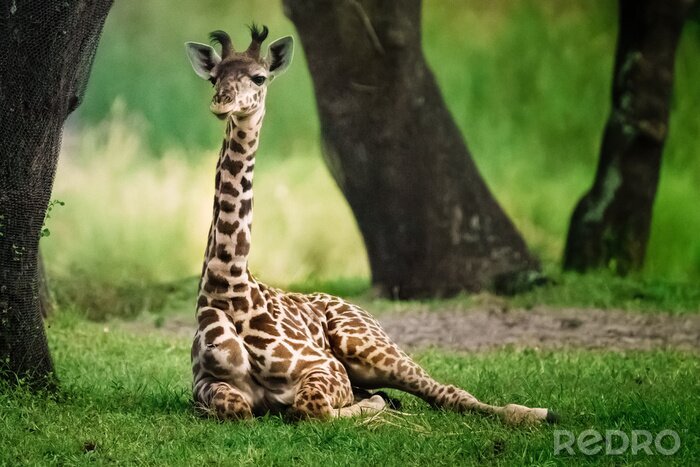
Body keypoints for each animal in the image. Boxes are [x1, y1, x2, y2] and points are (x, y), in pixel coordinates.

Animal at [185, 26, 558, 424]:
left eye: (259, 77)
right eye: (214, 77)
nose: (221, 102)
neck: (228, 287)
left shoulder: (327, 367)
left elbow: (311, 407)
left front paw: (361, 408)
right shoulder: (204, 384)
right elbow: (237, 407)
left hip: (369, 346)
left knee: (446, 392)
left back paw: (537, 413)